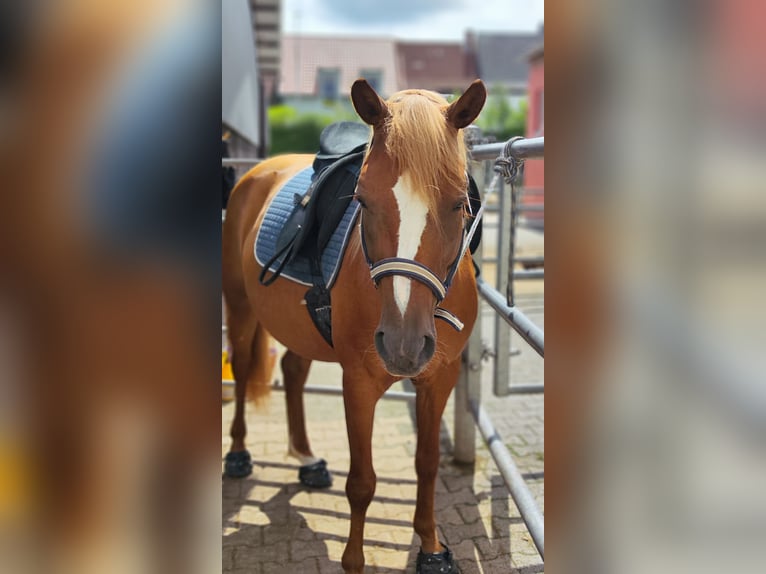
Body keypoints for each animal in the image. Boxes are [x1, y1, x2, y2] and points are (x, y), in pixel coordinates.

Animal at [224, 79, 486, 572]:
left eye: (460, 203)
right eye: (362, 200)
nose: (403, 346)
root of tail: (256, 173)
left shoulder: (438, 378)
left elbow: (427, 463)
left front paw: (431, 547)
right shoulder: (359, 382)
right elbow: (362, 482)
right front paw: (353, 560)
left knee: (292, 373)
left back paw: (307, 458)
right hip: (240, 307)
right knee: (246, 369)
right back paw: (238, 454)